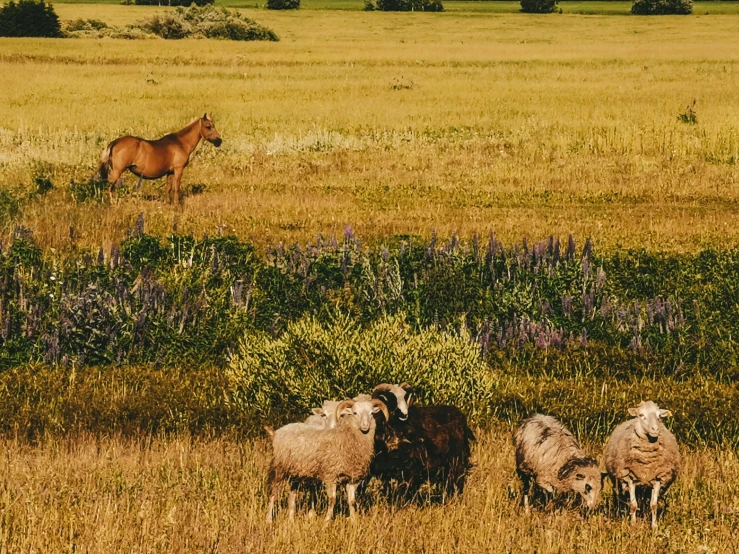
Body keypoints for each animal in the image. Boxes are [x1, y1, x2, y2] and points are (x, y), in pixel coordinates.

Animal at [608, 396, 684, 528]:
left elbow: (653, 505)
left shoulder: (658, 479)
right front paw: (633, 524)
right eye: (641, 415)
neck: (646, 461)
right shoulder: (630, 479)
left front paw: (654, 526)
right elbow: (633, 505)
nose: (655, 429)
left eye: (659, 416)